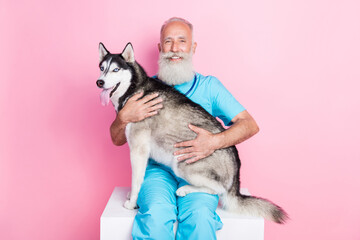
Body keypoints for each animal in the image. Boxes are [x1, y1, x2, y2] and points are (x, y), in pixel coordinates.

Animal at [97, 42, 288, 223]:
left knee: (218, 190)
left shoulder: (138, 150)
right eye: (102, 68)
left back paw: (185, 189)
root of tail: (236, 176)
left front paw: (132, 203)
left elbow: (136, 180)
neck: (134, 89)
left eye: (115, 69)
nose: (100, 82)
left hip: (182, 163)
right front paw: (131, 196)